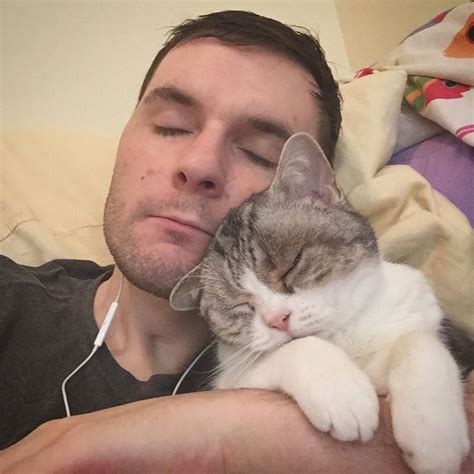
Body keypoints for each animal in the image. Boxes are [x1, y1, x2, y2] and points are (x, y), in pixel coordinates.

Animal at [171, 131, 470, 472]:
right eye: (240, 306)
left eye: (290, 266)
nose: (277, 320)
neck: (342, 338)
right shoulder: (231, 380)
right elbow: (299, 347)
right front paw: (344, 396)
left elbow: (418, 342)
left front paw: (434, 435)